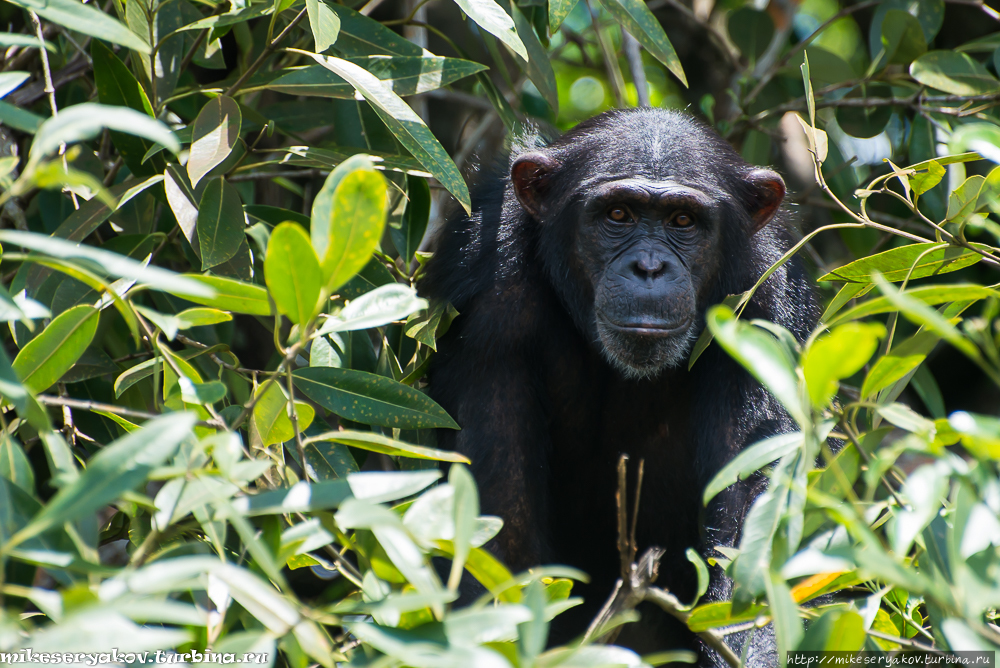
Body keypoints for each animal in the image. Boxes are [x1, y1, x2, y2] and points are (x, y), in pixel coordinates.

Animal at [418, 108, 816, 664]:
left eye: (683, 221)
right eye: (619, 215)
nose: (649, 267)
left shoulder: (764, 308)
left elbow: (750, 540)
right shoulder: (488, 299)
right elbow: (497, 538)